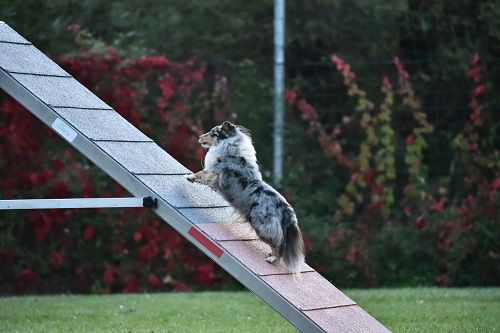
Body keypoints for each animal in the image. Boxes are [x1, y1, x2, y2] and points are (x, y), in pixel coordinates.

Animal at [187, 120, 304, 272]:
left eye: (212, 133)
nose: (199, 137)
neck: (230, 146)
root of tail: (285, 208)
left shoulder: (213, 172)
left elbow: (200, 173)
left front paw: (189, 177)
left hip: (262, 227)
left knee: (278, 245)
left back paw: (272, 259)